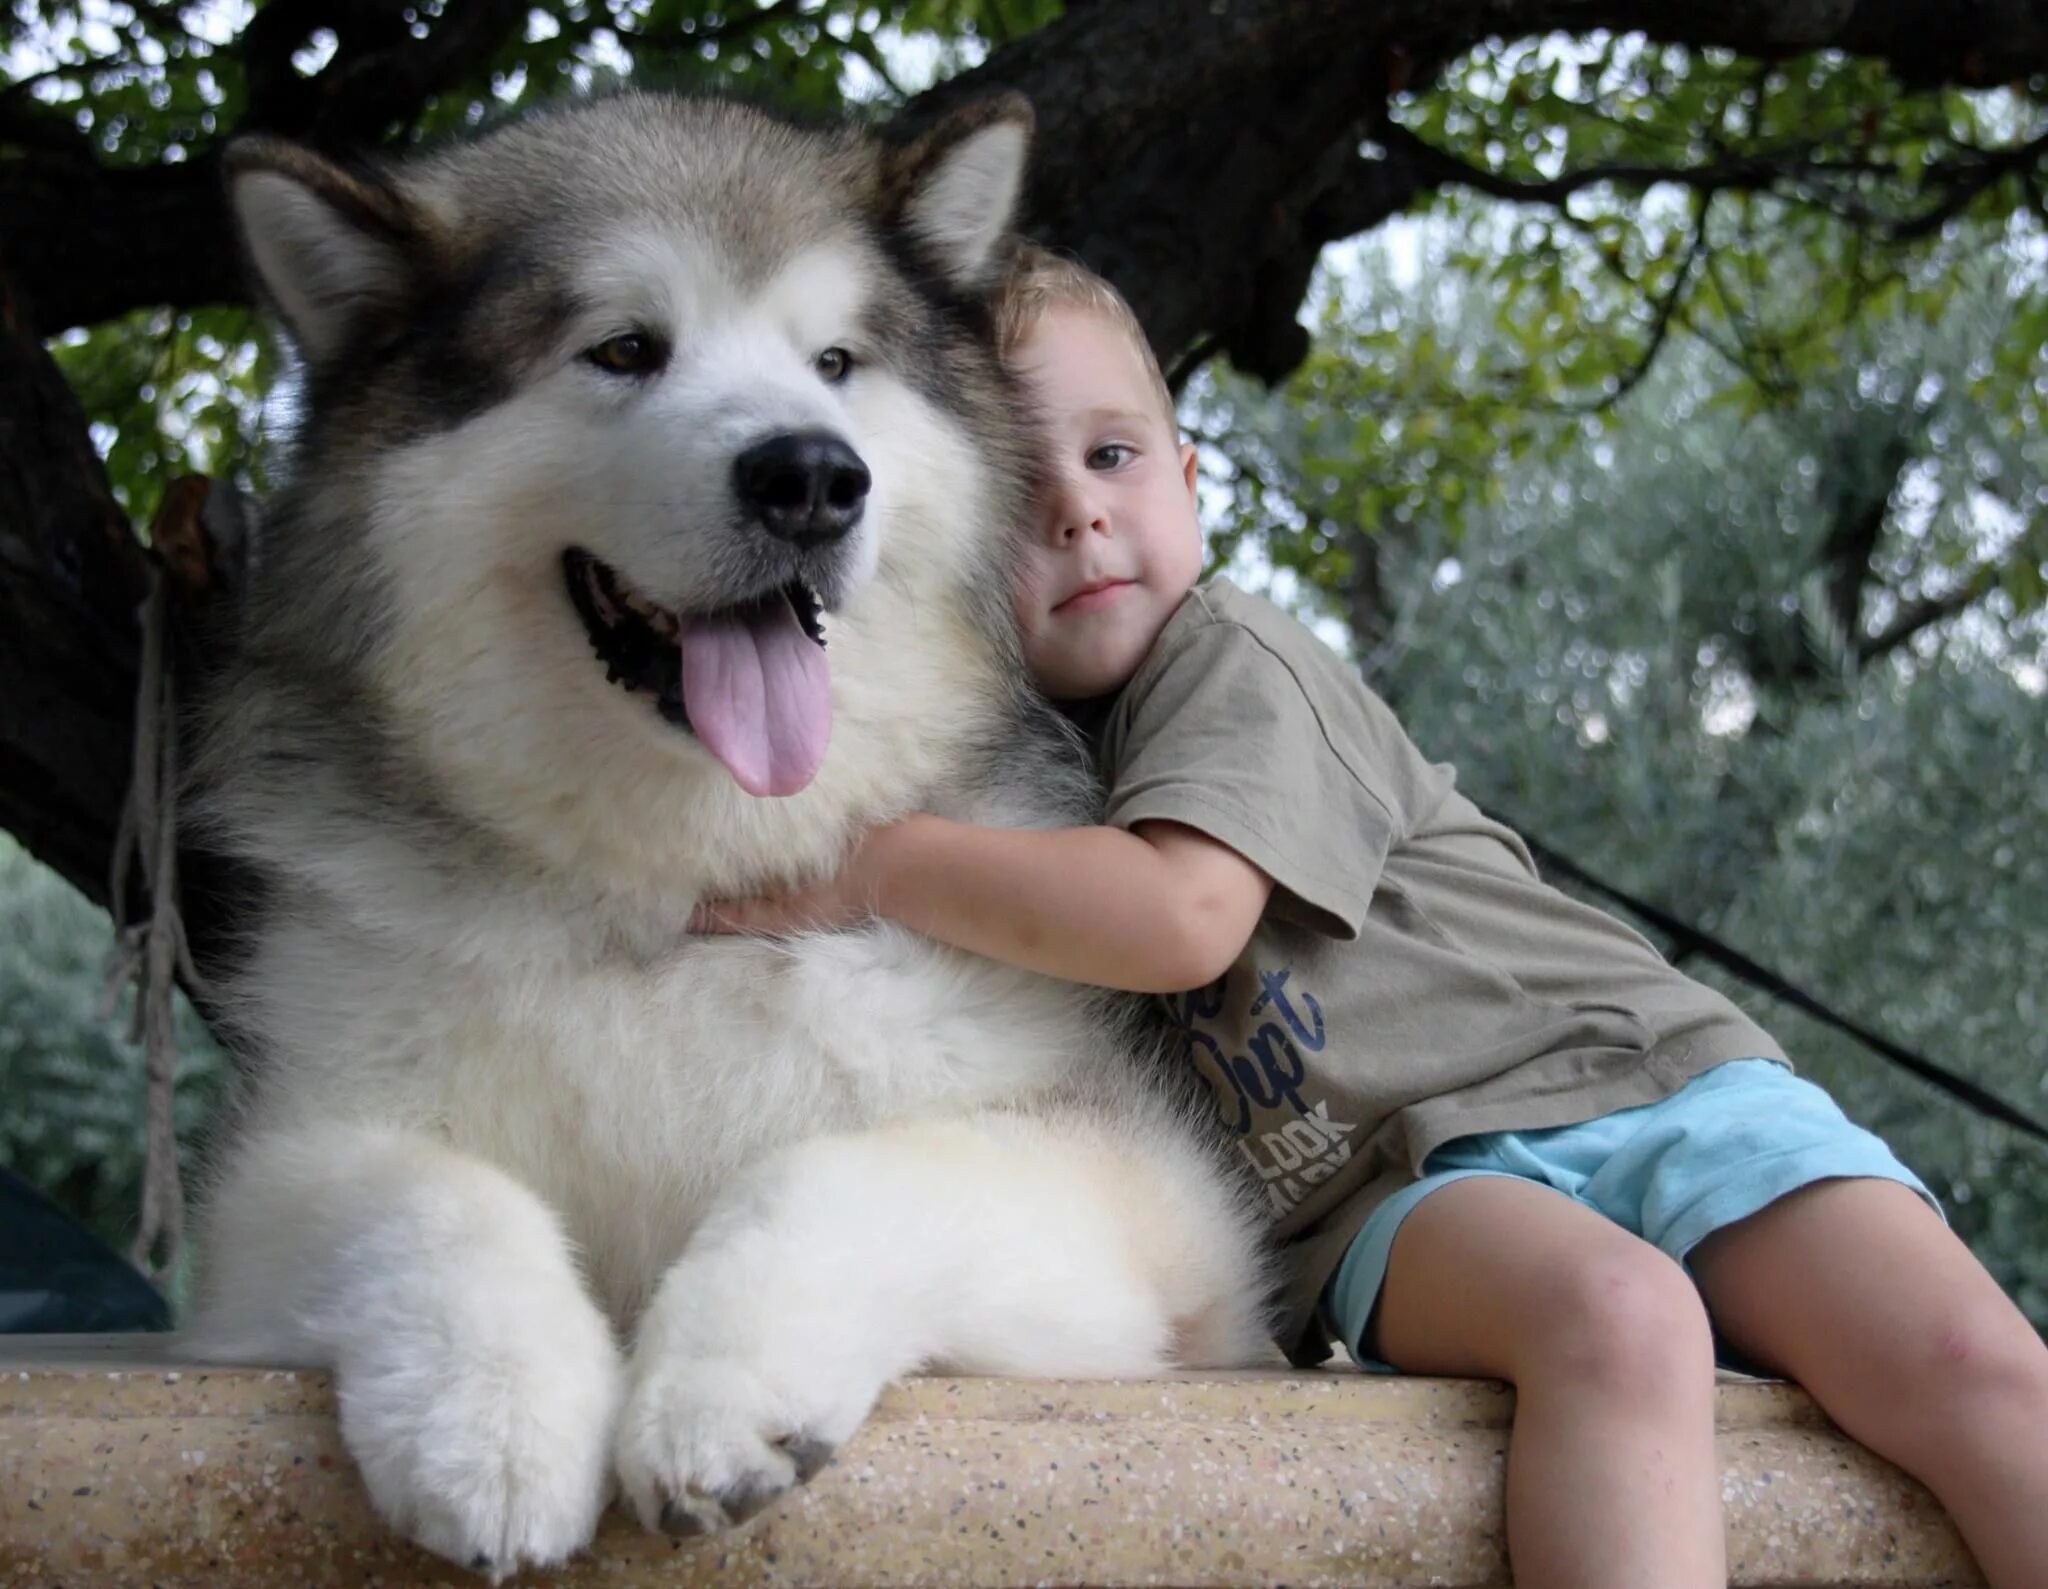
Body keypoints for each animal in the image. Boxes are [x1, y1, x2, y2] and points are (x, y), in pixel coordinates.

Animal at [184, 96, 1269, 1572]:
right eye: (625, 348)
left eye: (836, 362)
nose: (811, 476)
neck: (679, 899)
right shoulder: (273, 1183)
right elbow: (431, 1192)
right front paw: (495, 1417)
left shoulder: (1155, 1212)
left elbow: (850, 1166)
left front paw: (716, 1386)